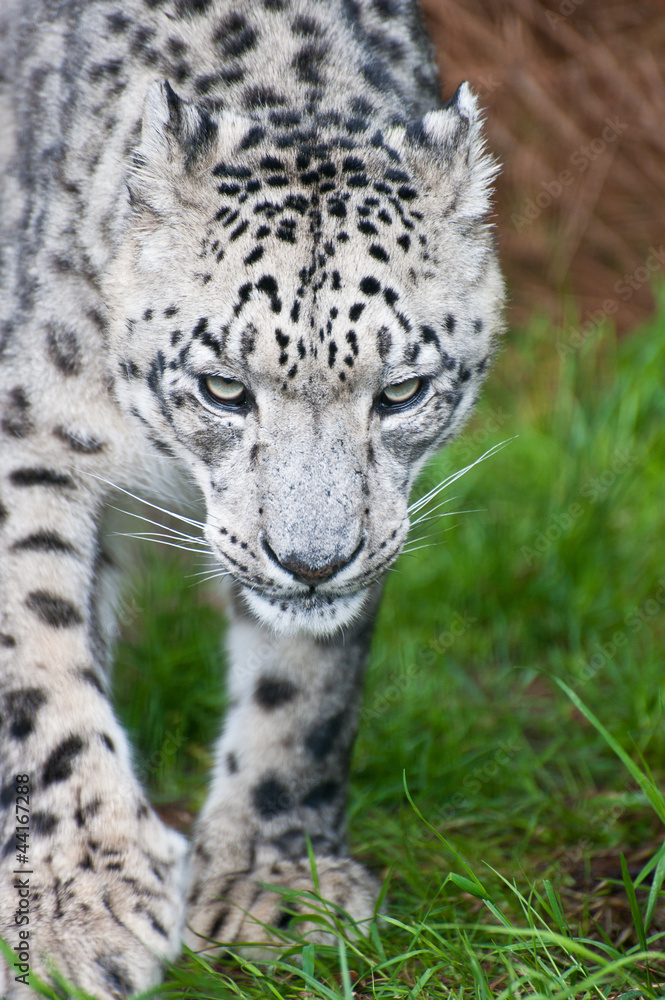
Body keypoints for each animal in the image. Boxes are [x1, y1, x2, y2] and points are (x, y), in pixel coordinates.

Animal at [0, 0, 504, 995]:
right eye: (224, 387)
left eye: (401, 391)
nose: (312, 562)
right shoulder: (30, 431)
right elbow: (38, 651)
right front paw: (81, 902)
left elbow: (303, 690)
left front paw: (276, 885)